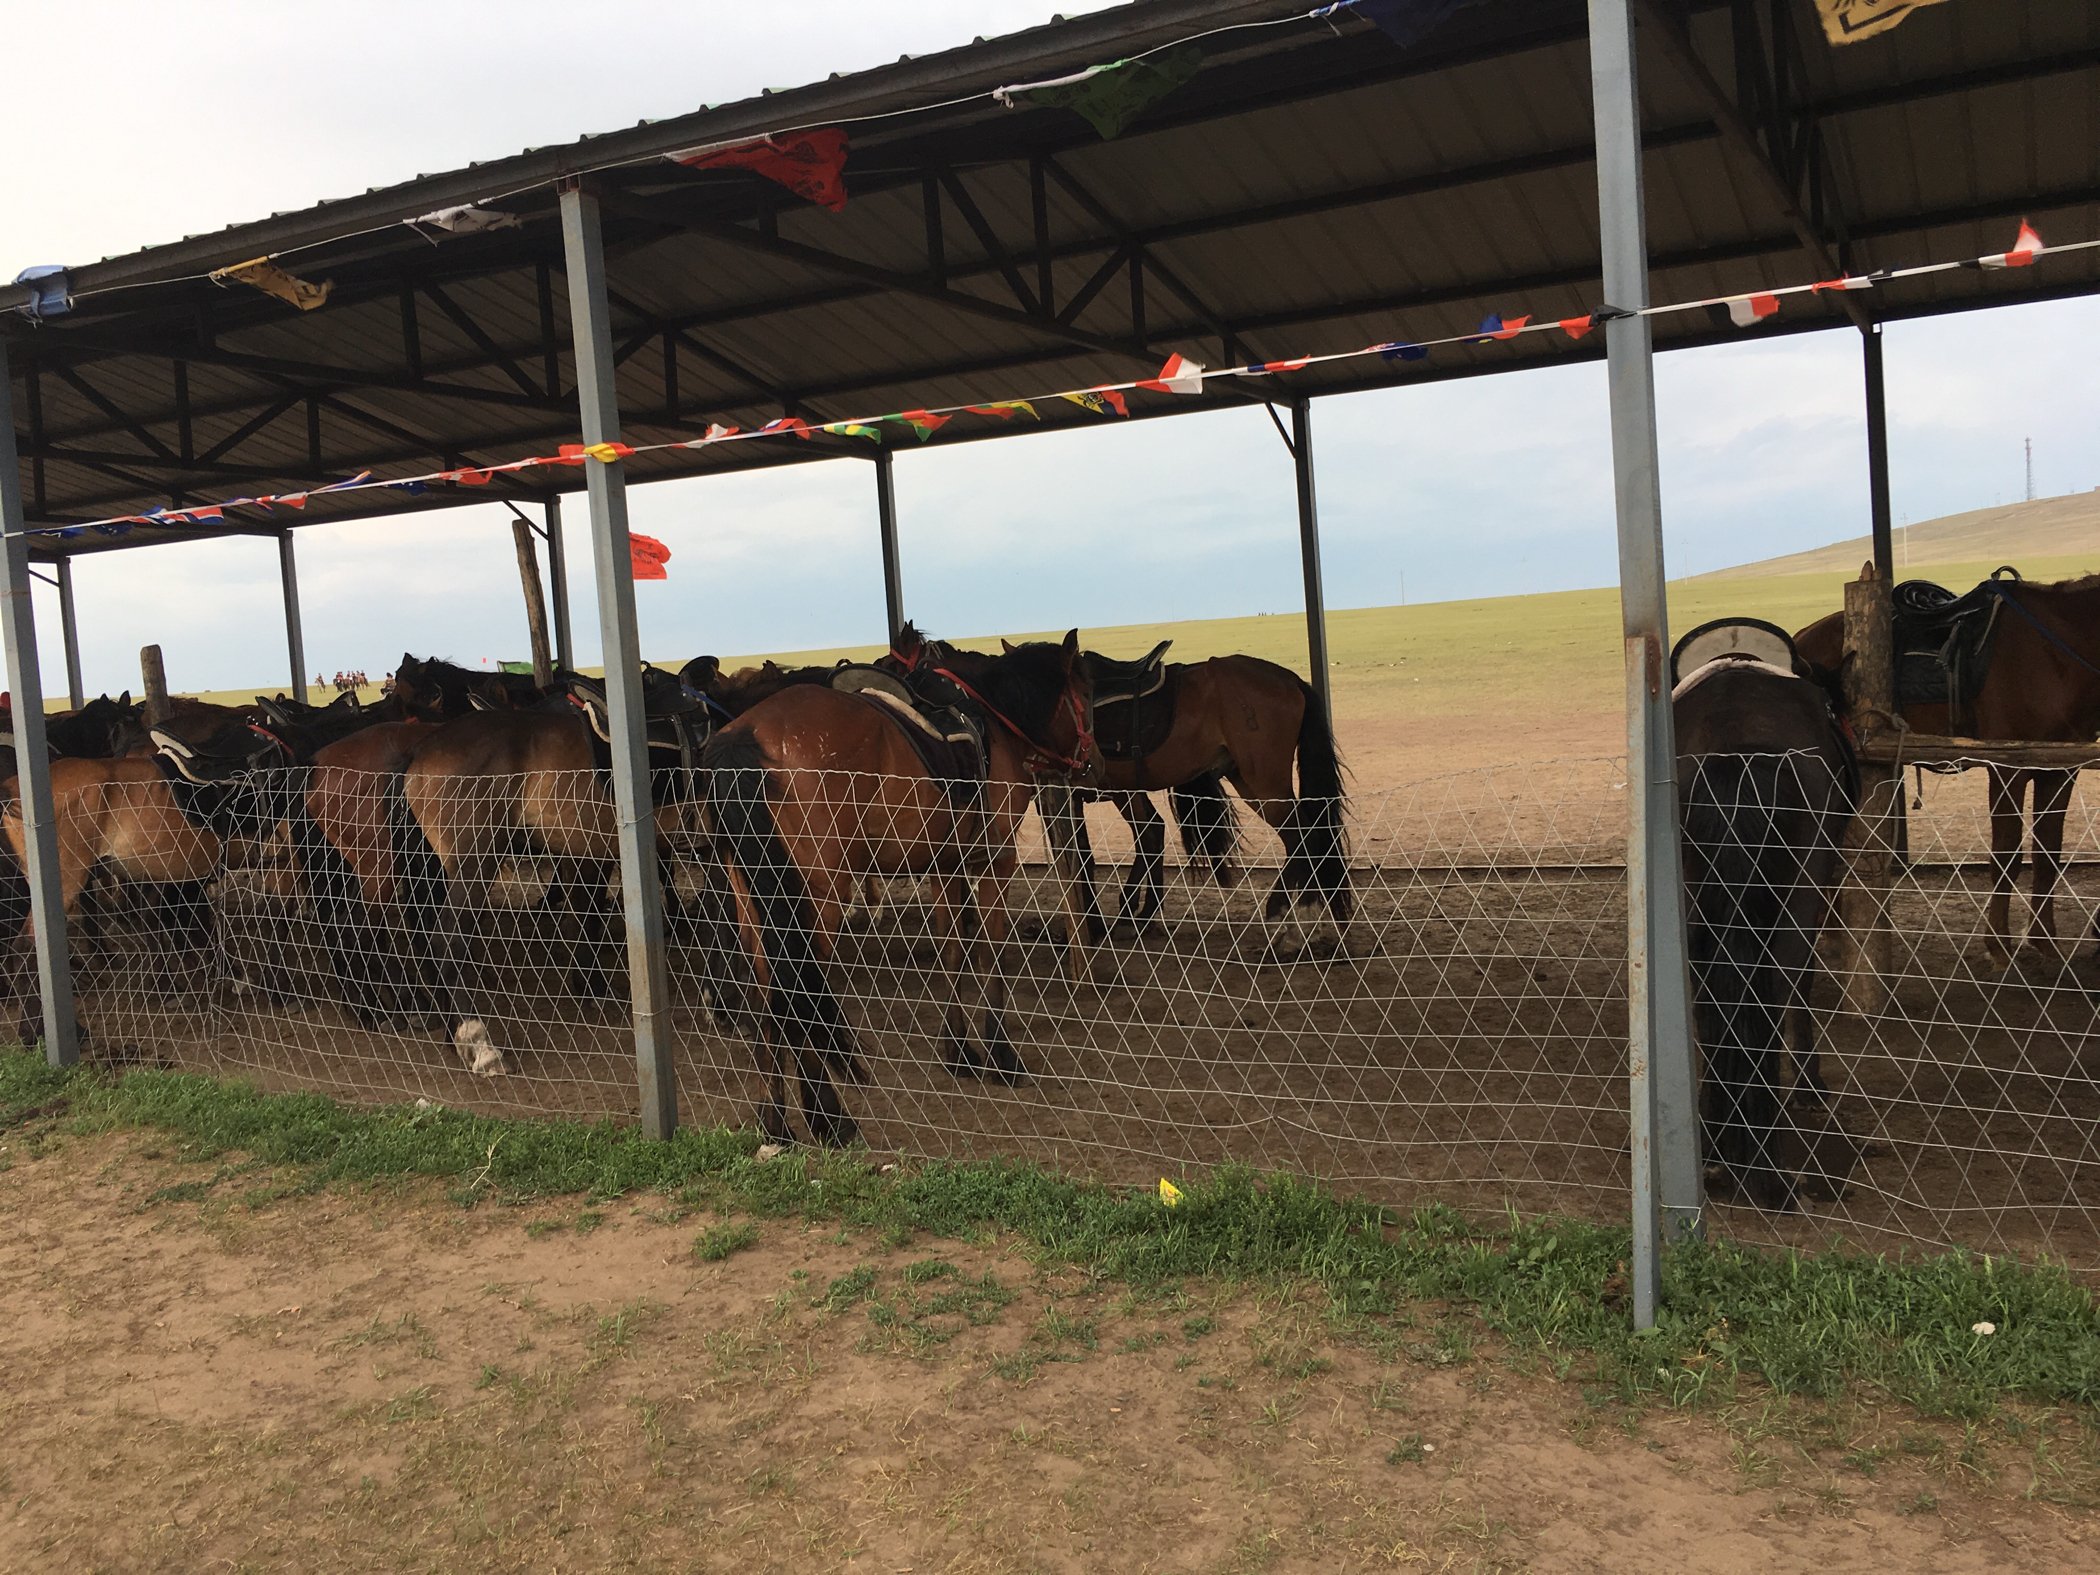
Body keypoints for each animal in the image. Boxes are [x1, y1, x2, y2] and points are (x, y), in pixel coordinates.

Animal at [705, 634, 1100, 1150]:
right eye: (1087, 697)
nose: (1095, 764)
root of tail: (748, 736)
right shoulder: (995, 862)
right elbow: (991, 954)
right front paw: (1000, 1055)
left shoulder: (946, 869)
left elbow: (953, 952)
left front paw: (960, 1053)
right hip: (819, 898)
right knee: (798, 991)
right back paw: (828, 1118)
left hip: (754, 901)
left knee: (766, 996)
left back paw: (776, 1123)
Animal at [1671, 621, 1856, 1218]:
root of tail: (1735, 747)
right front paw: (1810, 1086)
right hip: (1796, 900)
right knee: (1779, 985)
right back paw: (1769, 1168)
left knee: (1708, 997)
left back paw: (1715, 1148)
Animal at [1789, 575, 2100, 970]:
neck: (2055, 650)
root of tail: (1802, 638)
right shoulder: (2008, 769)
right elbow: (2006, 854)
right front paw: (1998, 945)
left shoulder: (2059, 769)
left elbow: (2048, 853)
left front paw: (2045, 943)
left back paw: (1829, 930)